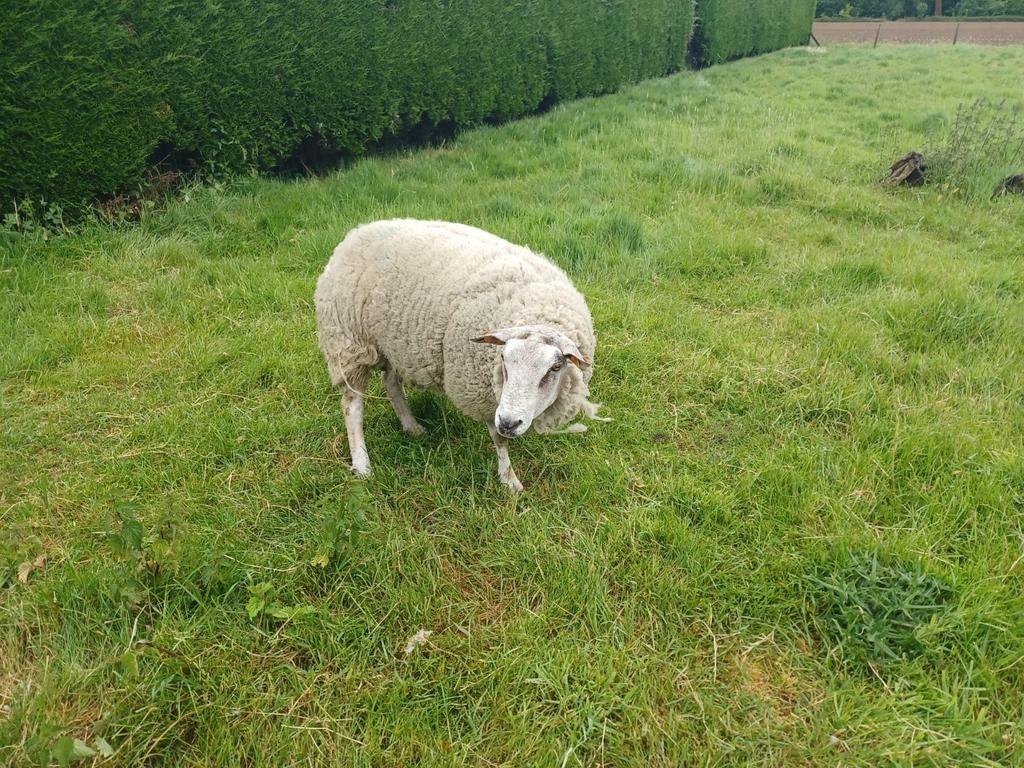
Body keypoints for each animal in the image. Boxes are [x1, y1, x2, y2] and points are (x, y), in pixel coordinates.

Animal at [314, 219, 607, 491]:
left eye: (554, 368)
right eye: (504, 359)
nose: (509, 422)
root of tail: (357, 232)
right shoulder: (483, 396)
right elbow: (500, 441)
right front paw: (509, 481)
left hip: (394, 343)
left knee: (391, 383)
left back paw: (412, 427)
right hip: (349, 343)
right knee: (352, 406)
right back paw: (362, 464)